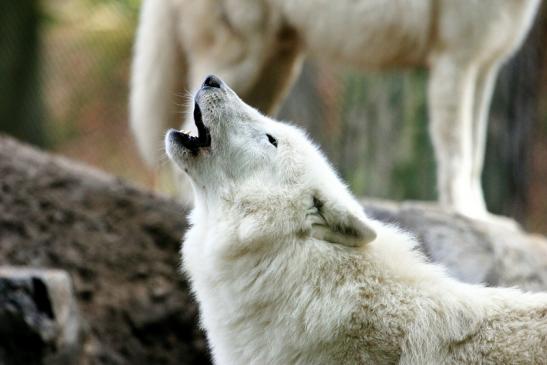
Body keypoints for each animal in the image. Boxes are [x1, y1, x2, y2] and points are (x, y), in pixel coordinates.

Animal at [131, 0, 540, 216]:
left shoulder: (484, 67)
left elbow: (475, 157)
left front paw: (483, 216)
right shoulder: (455, 62)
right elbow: (457, 154)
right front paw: (466, 214)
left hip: (273, 69)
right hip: (241, 61)